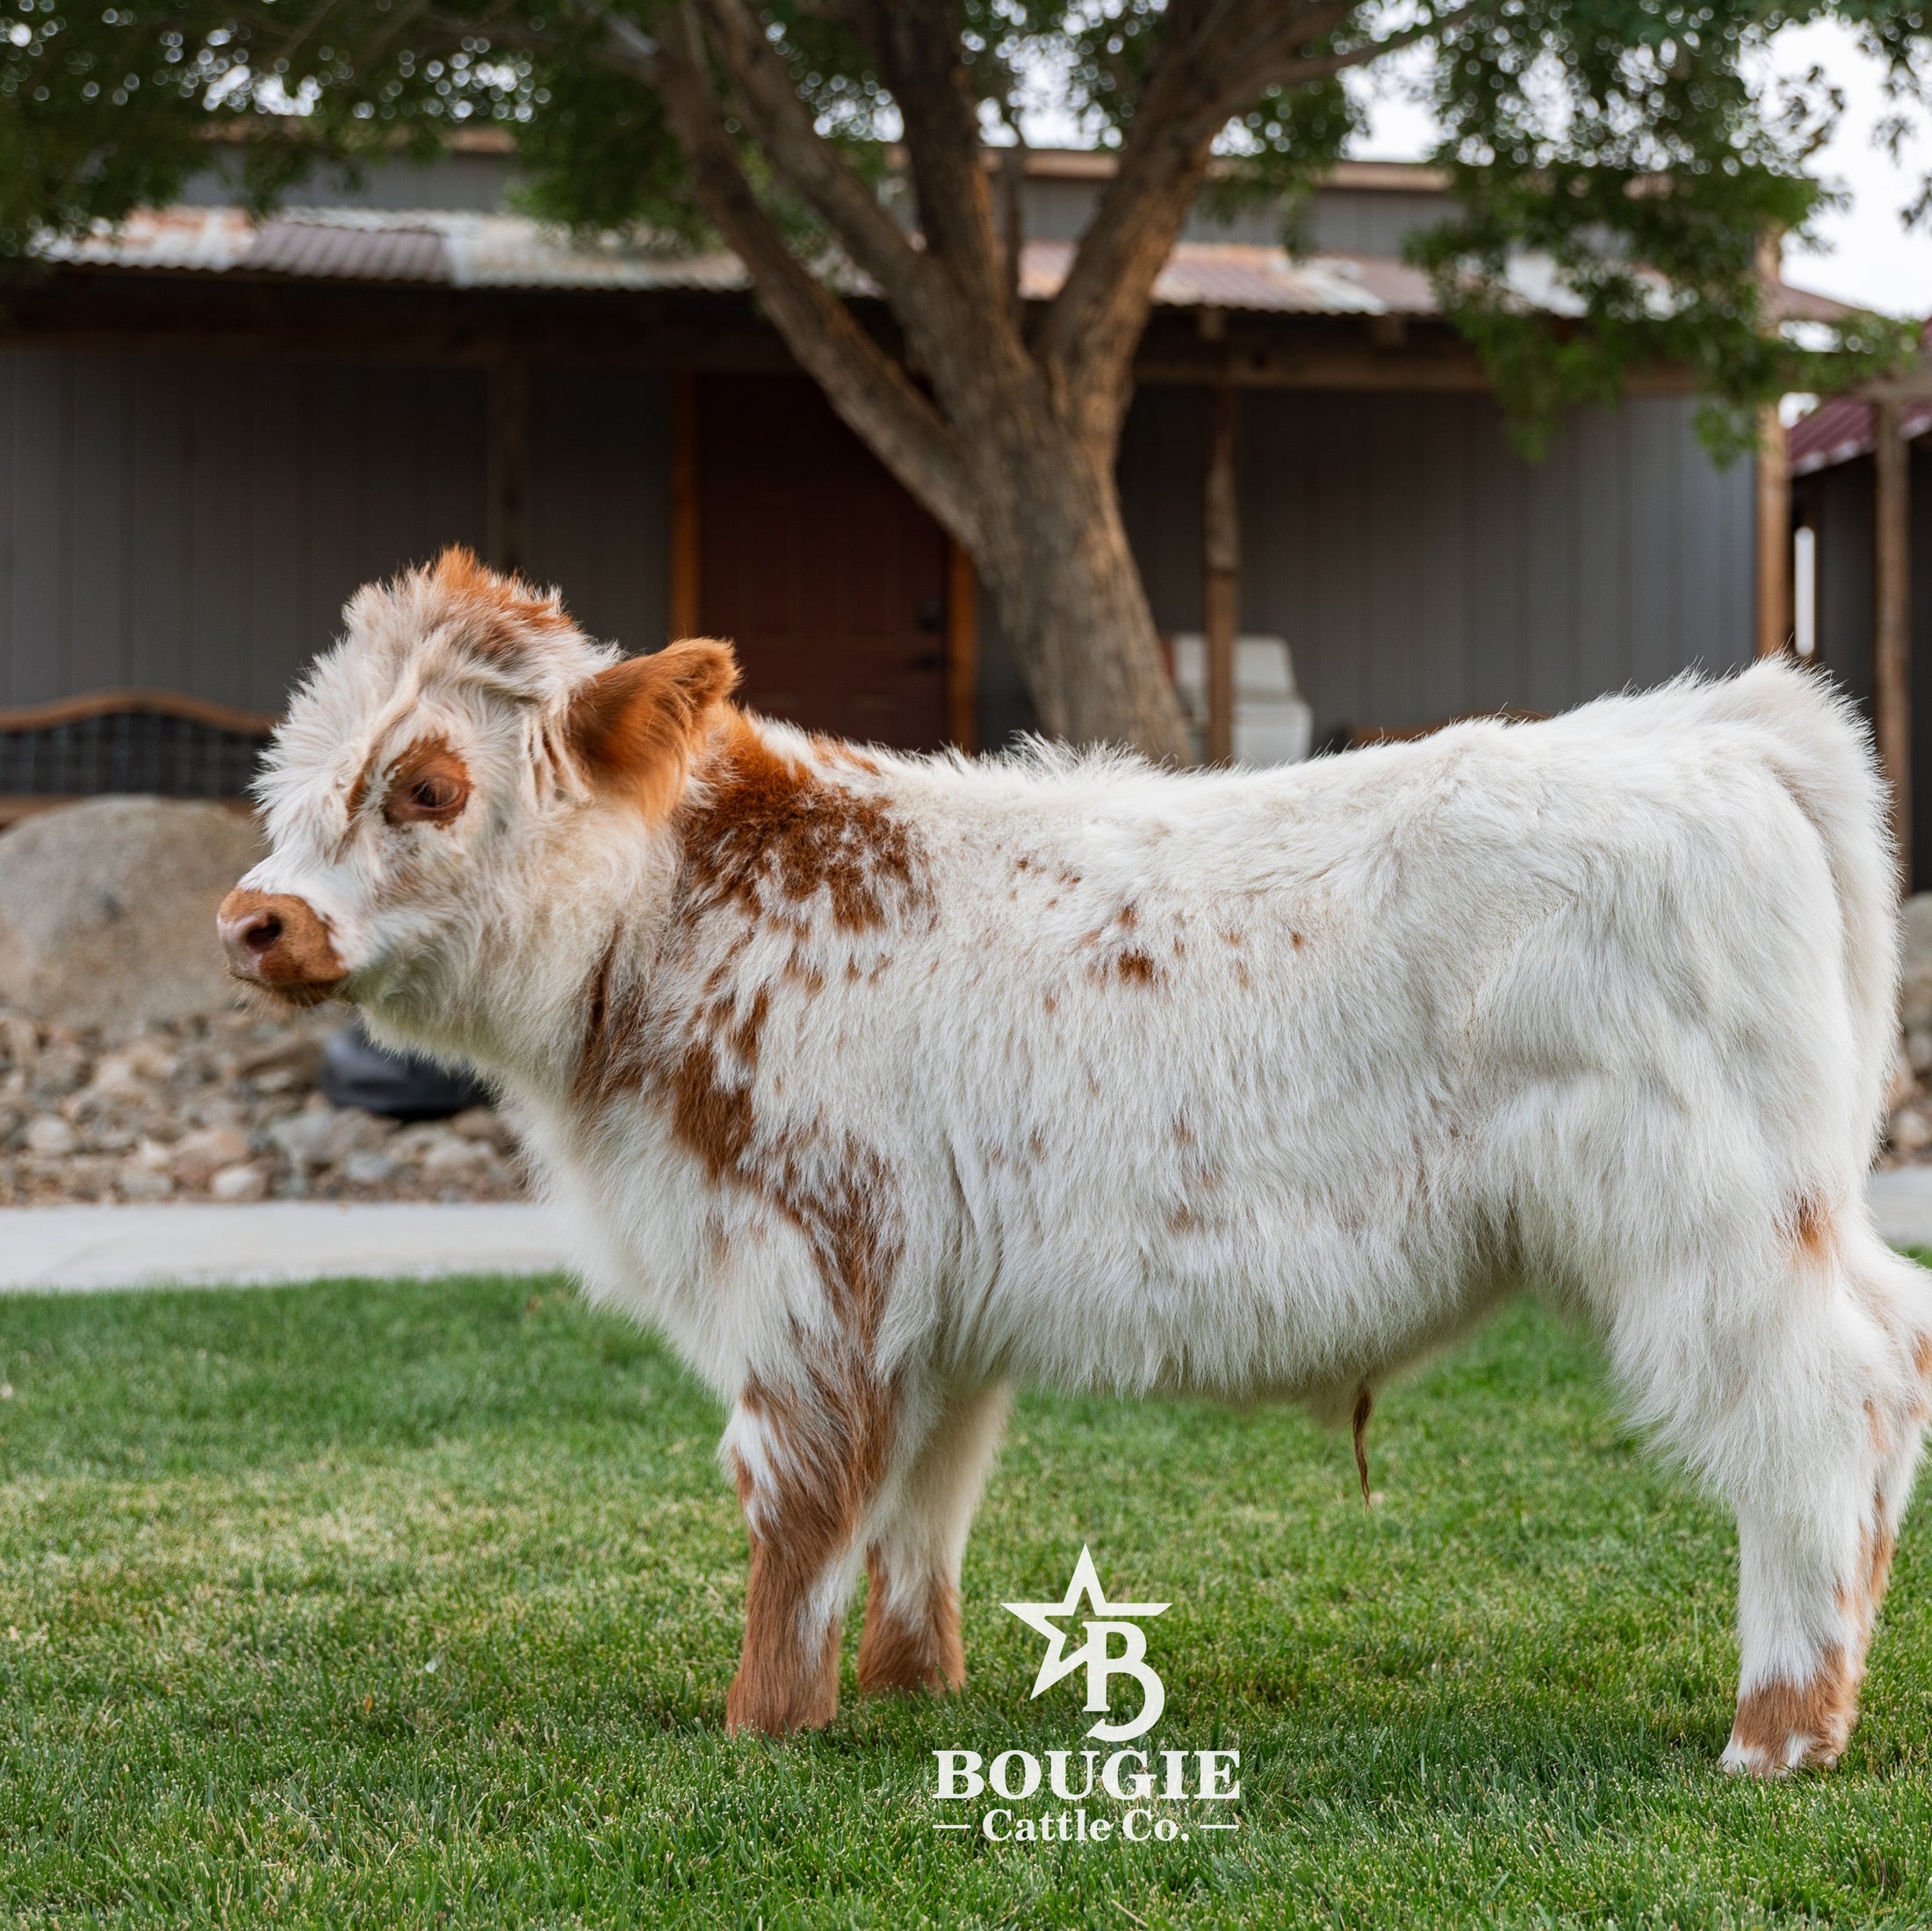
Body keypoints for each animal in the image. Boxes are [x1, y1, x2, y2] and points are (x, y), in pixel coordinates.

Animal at [219, 547, 1931, 1774]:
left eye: (427, 783)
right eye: (287, 779)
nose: (256, 918)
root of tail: (1717, 725)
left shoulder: (807, 1267)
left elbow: (799, 1500)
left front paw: (764, 1721)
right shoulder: (932, 1302)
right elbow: (921, 1492)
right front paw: (913, 1685)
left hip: (1710, 1221)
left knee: (1823, 1403)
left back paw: (1778, 1728)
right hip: (1791, 1209)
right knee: (1896, 1352)